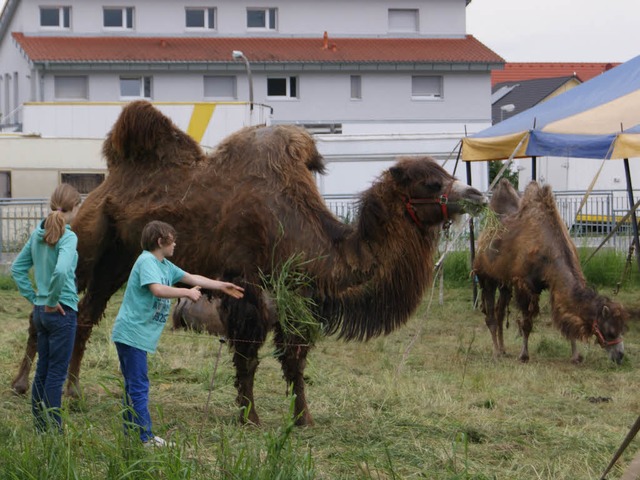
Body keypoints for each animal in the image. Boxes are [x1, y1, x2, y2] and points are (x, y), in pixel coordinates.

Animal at [12, 99, 484, 426]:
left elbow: (294, 361)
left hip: (121, 257)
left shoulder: (297, 298)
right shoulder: (248, 288)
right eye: (430, 181)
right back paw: (21, 386)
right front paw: (250, 418)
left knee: (87, 314)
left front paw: (303, 420)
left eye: (444, 173)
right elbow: (248, 357)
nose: (477, 195)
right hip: (88, 241)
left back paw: (73, 393)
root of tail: (103, 184)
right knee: (49, 309)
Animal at [472, 179, 628, 364]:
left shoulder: (554, 284)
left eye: (622, 328)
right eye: (610, 330)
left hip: (505, 281)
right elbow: (526, 324)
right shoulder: (526, 285)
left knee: (500, 312)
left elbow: (566, 316)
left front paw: (576, 356)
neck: (548, 251)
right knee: (491, 316)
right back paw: (496, 352)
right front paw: (524, 355)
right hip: (485, 276)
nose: (620, 355)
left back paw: (503, 350)